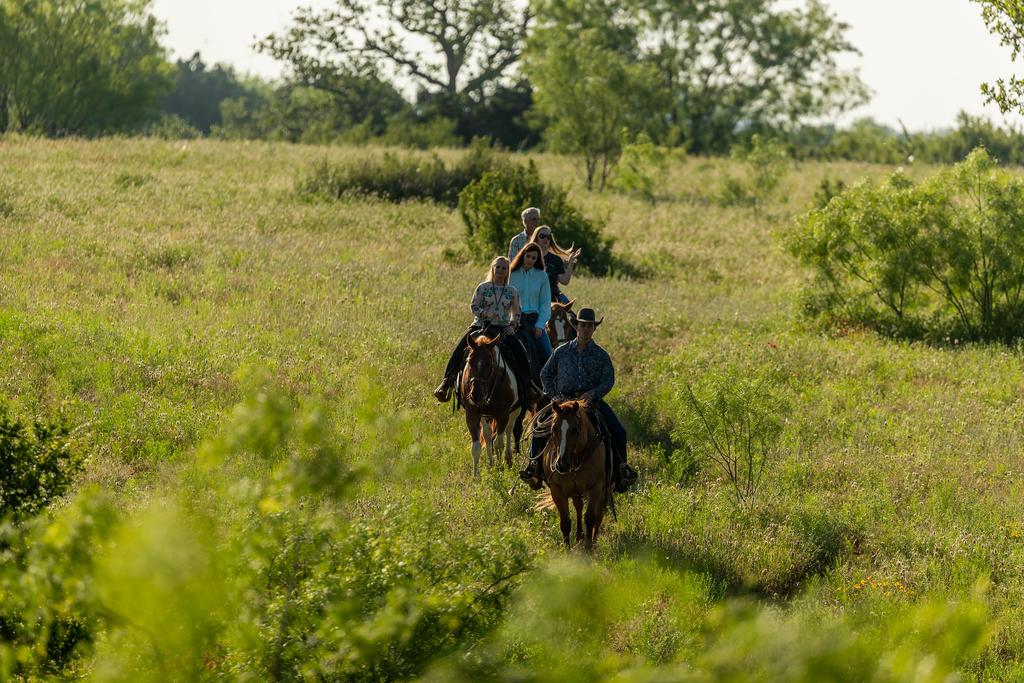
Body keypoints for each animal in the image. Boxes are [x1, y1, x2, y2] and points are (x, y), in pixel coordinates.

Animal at [464, 333, 528, 479]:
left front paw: (500, 470)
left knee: (509, 430)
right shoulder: (472, 414)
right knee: (487, 435)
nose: (476, 395)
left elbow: (499, 443)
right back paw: (491, 463)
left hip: (515, 411)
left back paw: (508, 459)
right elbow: (476, 447)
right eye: (469, 361)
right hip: (486, 415)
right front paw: (476, 477)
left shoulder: (503, 414)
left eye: (489, 363)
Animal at [544, 401, 606, 548]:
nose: (561, 464)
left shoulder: (595, 488)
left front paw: (588, 548)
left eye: (575, 430)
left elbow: (590, 518)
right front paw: (567, 550)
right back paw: (579, 535)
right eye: (554, 429)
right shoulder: (557, 491)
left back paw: (593, 540)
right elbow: (565, 523)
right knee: (578, 506)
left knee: (599, 513)